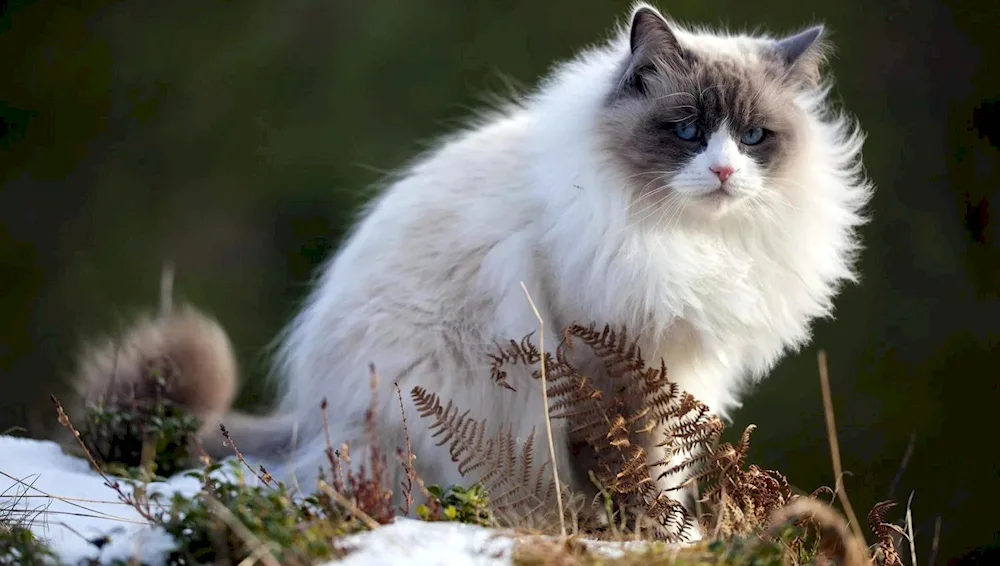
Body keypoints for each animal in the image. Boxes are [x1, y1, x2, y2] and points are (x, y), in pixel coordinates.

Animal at [72, 1, 868, 532]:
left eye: (755, 137)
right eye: (686, 131)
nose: (726, 171)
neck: (688, 243)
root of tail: (304, 419)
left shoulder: (674, 370)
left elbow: (658, 473)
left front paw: (660, 532)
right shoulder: (610, 365)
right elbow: (628, 470)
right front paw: (638, 534)